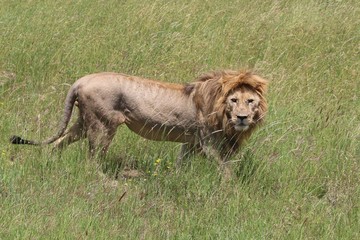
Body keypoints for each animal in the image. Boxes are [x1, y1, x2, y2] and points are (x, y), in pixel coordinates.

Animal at [9, 70, 268, 177]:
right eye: (234, 100)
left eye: (250, 101)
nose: (242, 117)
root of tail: (81, 80)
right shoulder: (208, 143)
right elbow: (226, 168)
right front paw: (234, 191)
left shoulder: (191, 141)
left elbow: (181, 162)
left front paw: (175, 178)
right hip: (104, 125)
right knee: (93, 160)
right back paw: (107, 182)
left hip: (83, 122)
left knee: (60, 142)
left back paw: (51, 162)